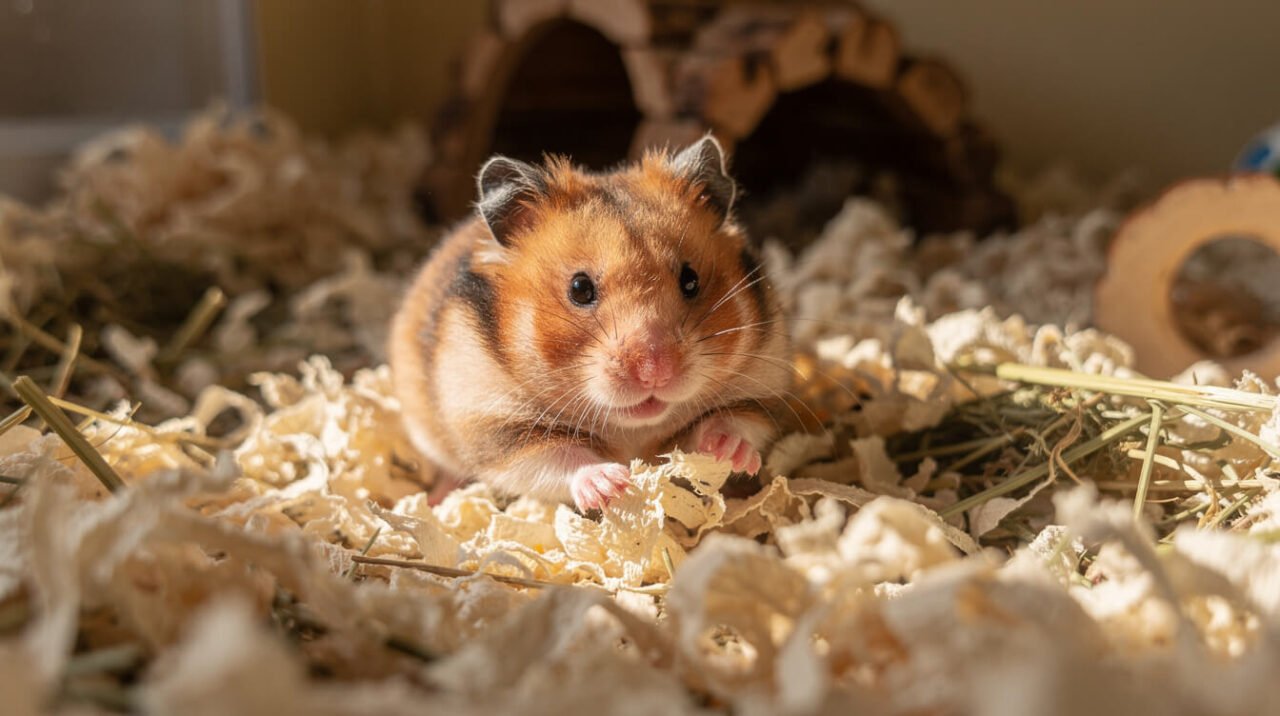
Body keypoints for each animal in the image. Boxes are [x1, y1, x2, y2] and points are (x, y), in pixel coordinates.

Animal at [389, 136, 791, 511]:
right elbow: (559, 459)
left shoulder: (757, 395)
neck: (631, 428)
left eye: (690, 280)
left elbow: (729, 423)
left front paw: (731, 452)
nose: (656, 372)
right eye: (580, 289)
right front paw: (612, 484)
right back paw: (435, 500)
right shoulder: (501, 428)